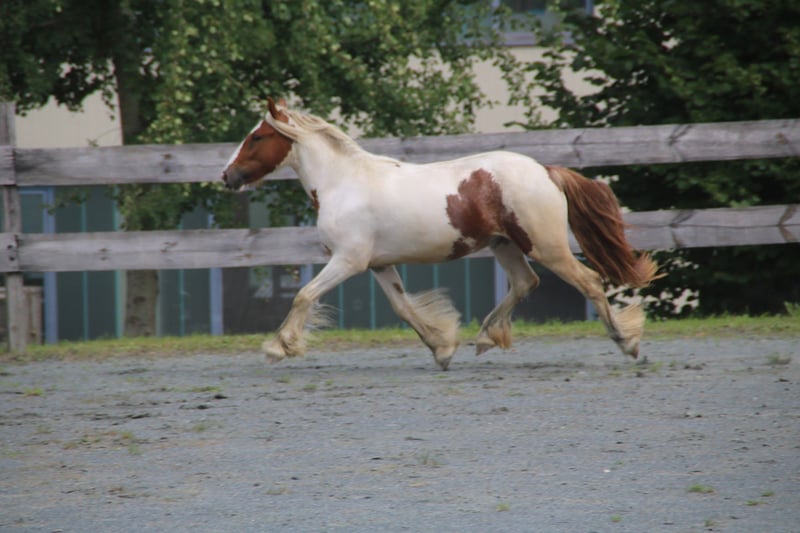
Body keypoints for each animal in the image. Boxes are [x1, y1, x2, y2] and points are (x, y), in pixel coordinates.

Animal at [221, 98, 660, 370]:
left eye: (256, 137)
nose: (227, 176)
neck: (343, 183)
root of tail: (546, 171)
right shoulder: (378, 266)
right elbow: (404, 309)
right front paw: (442, 349)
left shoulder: (347, 260)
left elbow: (304, 295)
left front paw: (278, 347)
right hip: (506, 246)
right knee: (525, 283)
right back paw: (484, 338)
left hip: (546, 246)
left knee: (589, 281)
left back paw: (627, 343)